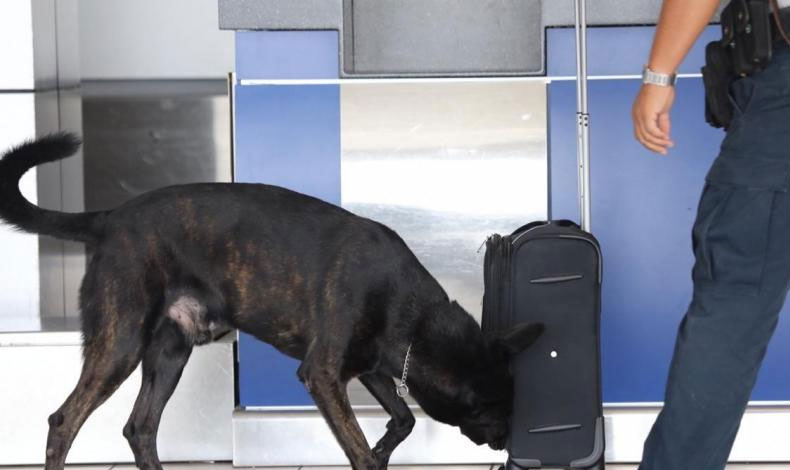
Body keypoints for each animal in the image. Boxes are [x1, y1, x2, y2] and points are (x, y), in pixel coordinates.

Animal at [0, 132, 544, 470]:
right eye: (491, 409)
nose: (505, 441)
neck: (412, 315)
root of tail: (109, 218)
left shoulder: (369, 366)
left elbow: (405, 419)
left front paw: (386, 446)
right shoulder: (323, 375)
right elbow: (362, 450)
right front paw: (374, 453)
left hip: (170, 353)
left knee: (140, 428)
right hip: (122, 344)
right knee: (64, 421)